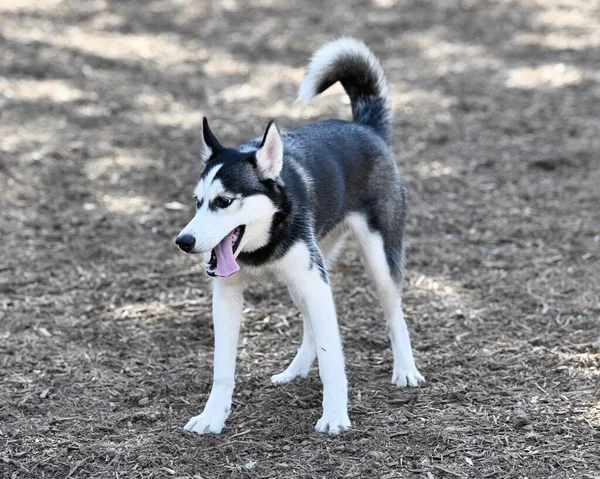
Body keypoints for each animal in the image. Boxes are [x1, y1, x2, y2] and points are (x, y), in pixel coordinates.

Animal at [176, 36, 424, 436]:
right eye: (197, 202)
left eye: (224, 201)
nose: (183, 241)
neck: (261, 246)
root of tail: (366, 128)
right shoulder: (229, 295)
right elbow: (222, 369)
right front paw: (212, 417)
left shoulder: (315, 282)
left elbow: (332, 357)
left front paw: (335, 415)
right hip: (308, 273)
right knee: (310, 325)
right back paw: (296, 370)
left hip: (377, 262)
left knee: (393, 313)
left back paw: (405, 369)